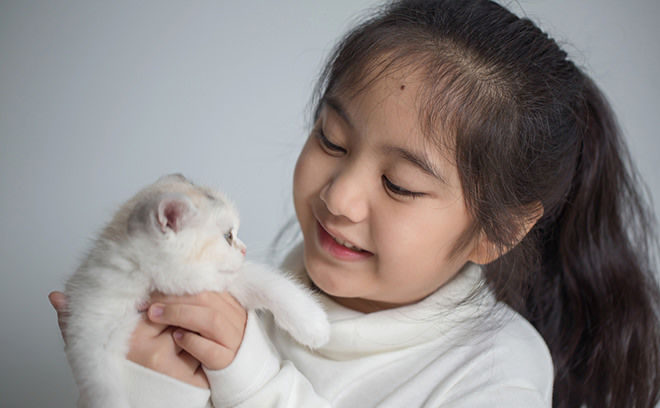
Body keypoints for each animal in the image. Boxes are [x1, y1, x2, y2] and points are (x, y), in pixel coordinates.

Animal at [64, 175, 328, 408]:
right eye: (228, 236)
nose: (243, 249)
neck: (152, 280)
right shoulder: (89, 326)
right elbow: (101, 384)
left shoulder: (224, 280)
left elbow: (273, 286)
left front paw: (314, 325)